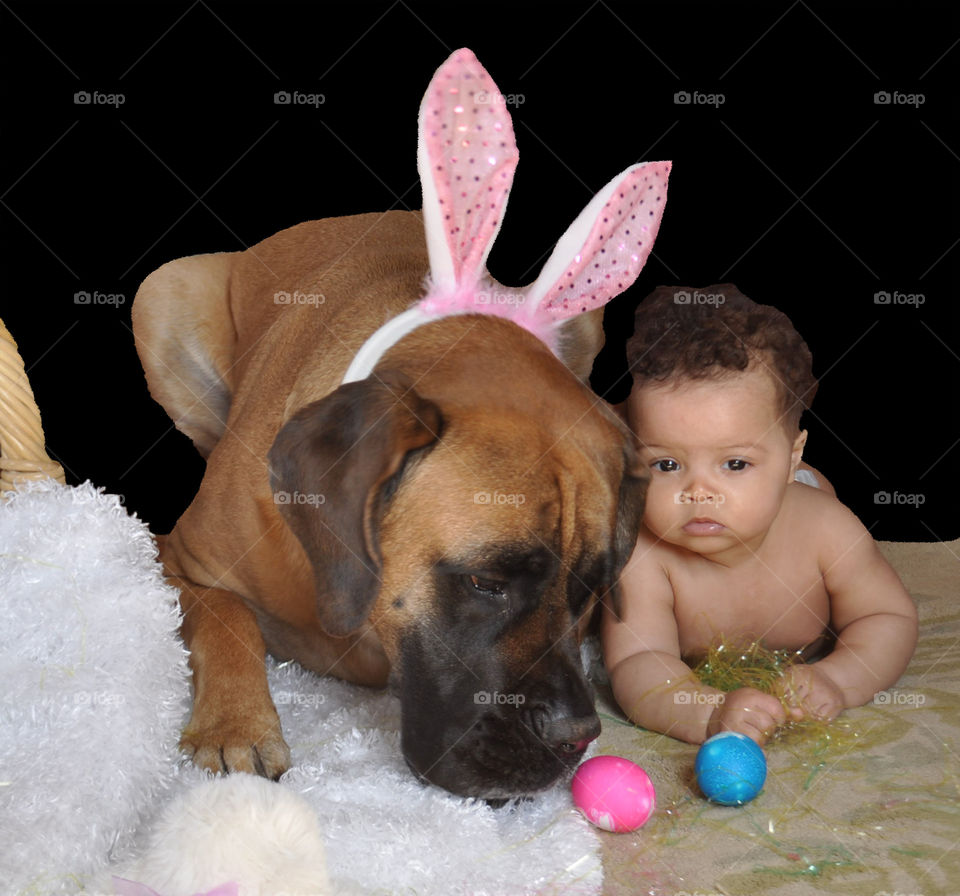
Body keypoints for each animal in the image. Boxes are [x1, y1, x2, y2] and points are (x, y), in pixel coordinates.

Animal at [131, 49, 668, 800]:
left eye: (593, 587)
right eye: (486, 583)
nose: (575, 738)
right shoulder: (175, 560)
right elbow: (225, 614)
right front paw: (236, 724)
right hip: (164, 288)